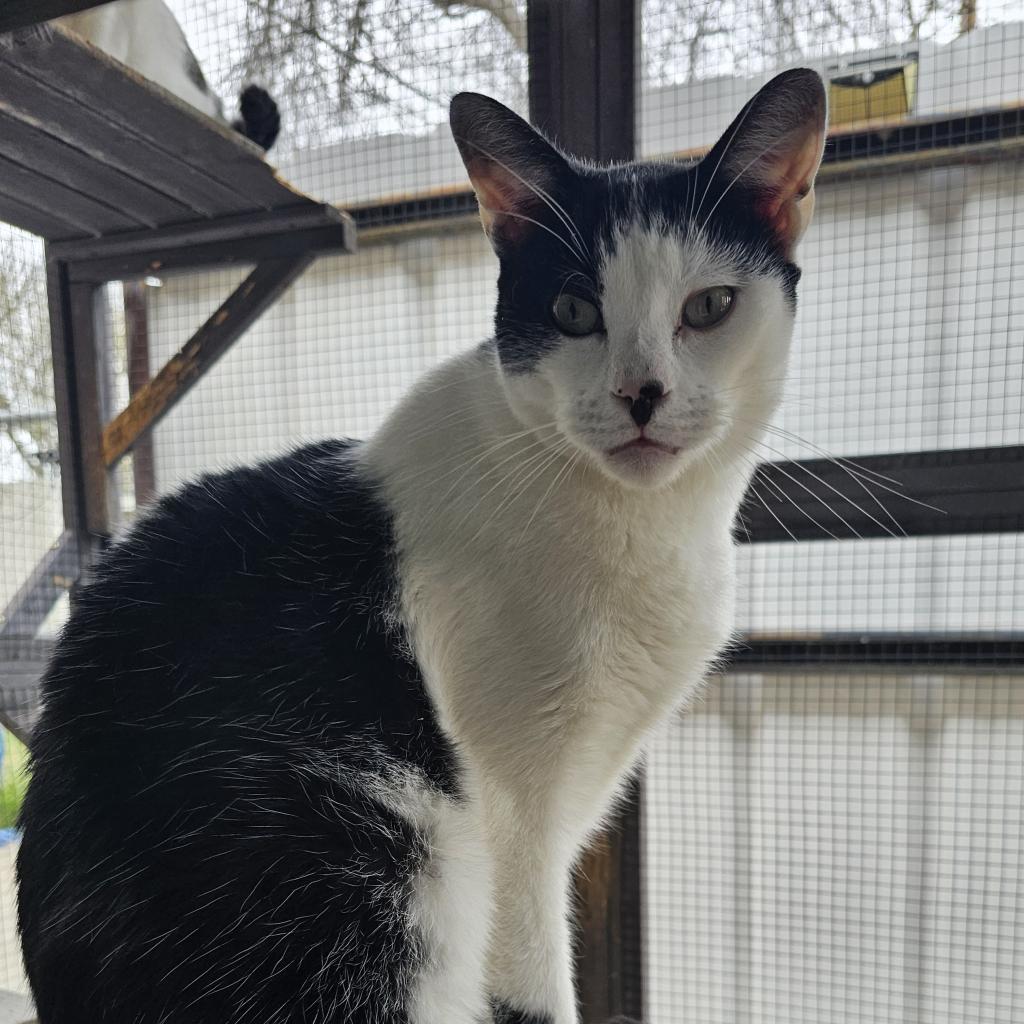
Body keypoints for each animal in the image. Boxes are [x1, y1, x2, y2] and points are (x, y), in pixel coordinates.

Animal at [19, 68, 827, 1019]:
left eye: (709, 307)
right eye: (572, 310)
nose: (642, 393)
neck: (643, 527)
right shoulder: (515, 817)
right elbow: (534, 987)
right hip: (370, 859)